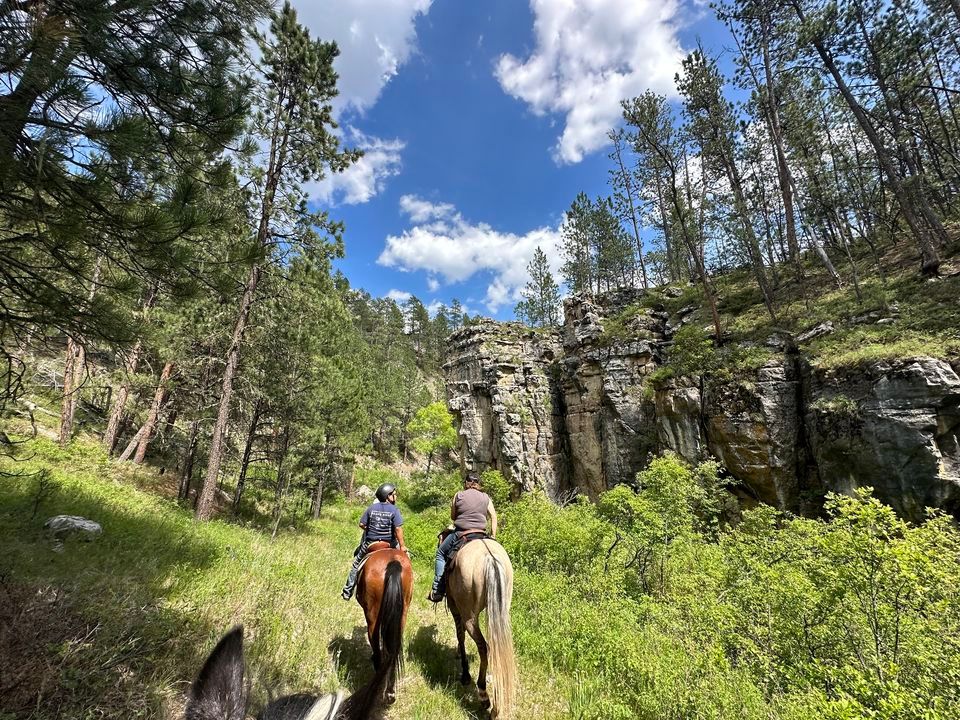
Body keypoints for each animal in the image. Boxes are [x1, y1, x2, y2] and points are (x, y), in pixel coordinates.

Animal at [355, 541, 414, 704]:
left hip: (372, 615)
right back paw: (390, 692)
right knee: (394, 647)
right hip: (402, 614)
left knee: (375, 642)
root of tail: (393, 563)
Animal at [444, 538, 517, 719]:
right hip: (501, 610)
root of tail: (490, 558)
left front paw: (465, 673)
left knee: (484, 647)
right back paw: (496, 708)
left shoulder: (455, 606)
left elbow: (460, 635)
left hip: (470, 616)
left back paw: (484, 695)